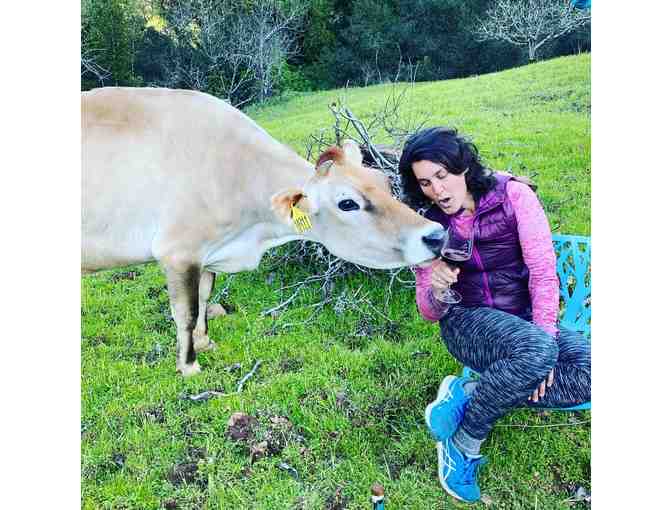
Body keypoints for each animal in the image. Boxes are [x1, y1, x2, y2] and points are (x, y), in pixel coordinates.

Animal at [82, 87, 444, 376]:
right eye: (347, 203)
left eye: (384, 183)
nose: (435, 235)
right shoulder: (178, 251)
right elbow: (186, 312)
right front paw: (189, 365)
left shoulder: (208, 253)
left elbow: (205, 296)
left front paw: (205, 342)